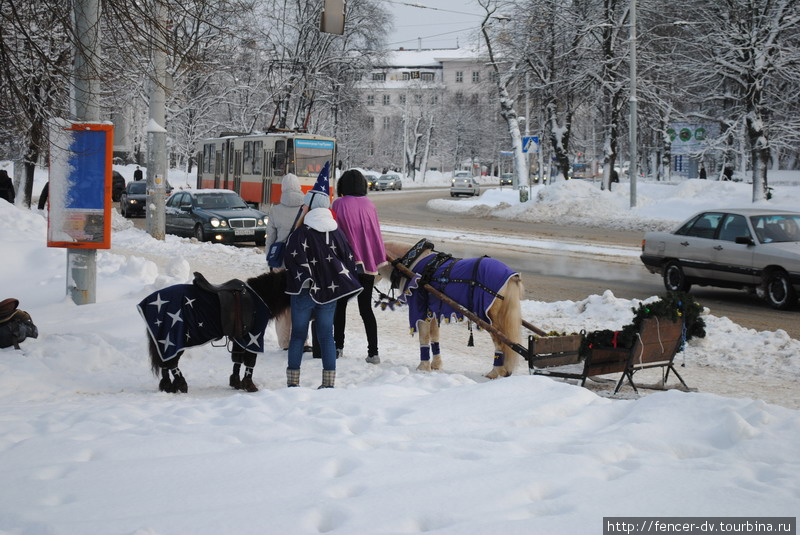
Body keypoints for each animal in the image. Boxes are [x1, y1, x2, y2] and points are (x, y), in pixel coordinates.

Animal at [140, 272, 290, 394]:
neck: (260, 296)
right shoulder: (254, 337)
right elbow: (250, 361)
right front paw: (250, 386)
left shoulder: (240, 339)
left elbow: (237, 360)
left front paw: (236, 383)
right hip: (173, 340)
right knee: (171, 362)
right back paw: (181, 384)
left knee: (165, 363)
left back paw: (168, 386)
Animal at [382, 241, 524, 378]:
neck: (413, 263)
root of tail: (512, 277)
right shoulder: (433, 310)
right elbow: (434, 336)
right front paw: (435, 365)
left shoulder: (420, 307)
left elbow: (423, 336)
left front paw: (423, 367)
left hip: (490, 320)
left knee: (500, 343)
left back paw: (495, 372)